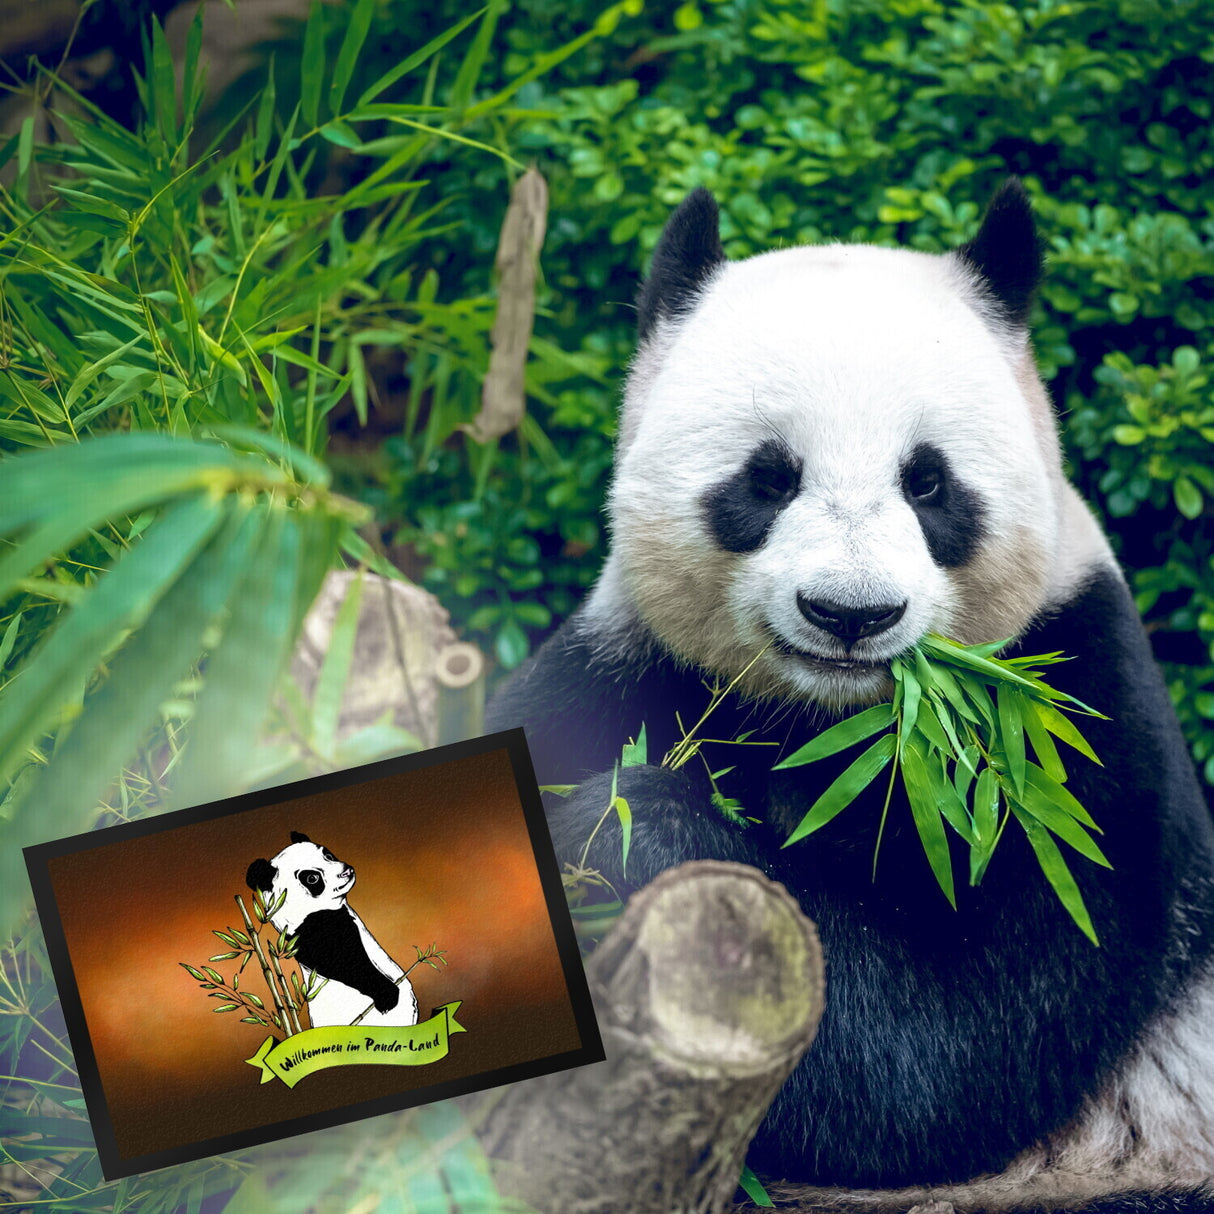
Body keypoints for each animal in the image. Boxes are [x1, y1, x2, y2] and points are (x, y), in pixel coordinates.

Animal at [245, 832, 419, 1029]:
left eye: (328, 855)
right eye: (312, 878)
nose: (346, 871)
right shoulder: (315, 932)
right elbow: (345, 963)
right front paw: (388, 996)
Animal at [486, 181, 1214, 1211]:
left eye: (929, 481)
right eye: (768, 476)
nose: (851, 612)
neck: (836, 721)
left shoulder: (1064, 740)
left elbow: (947, 1050)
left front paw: (631, 831)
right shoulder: (622, 669)